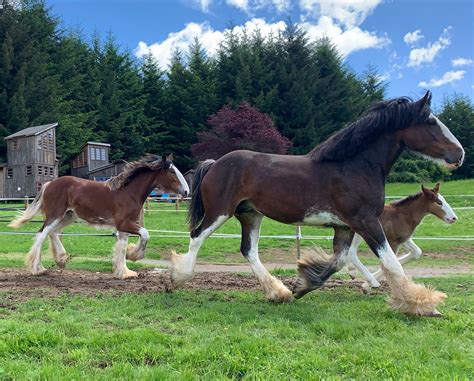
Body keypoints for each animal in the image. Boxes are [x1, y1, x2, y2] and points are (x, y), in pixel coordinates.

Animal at [10, 153, 188, 278]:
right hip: (55, 215)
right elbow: (145, 233)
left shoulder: (124, 226)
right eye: (172, 171)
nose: (186, 191)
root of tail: (48, 184)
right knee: (41, 235)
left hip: (68, 216)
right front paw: (134, 256)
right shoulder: (124, 223)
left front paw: (124, 272)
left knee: (52, 233)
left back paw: (61, 259)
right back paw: (38, 269)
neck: (128, 192)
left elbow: (122, 246)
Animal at [170, 91, 462, 314]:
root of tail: (215, 163)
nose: (459, 154)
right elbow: (391, 263)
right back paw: (177, 278)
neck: (355, 166)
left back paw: (278, 293)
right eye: (431, 122)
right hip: (220, 212)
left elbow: (339, 261)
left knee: (248, 250)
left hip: (251, 214)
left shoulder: (345, 226)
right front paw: (422, 304)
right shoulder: (365, 221)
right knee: (196, 236)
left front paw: (303, 284)